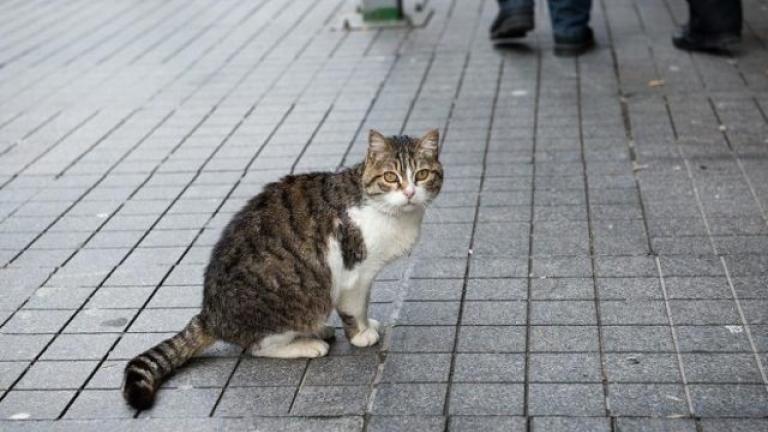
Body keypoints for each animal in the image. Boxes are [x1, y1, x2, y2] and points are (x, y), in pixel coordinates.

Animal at [122, 127, 440, 408]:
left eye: (422, 175)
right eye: (391, 177)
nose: (410, 192)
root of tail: (209, 314)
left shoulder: (368, 275)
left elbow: (364, 305)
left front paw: (366, 325)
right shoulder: (354, 274)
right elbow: (354, 309)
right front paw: (361, 335)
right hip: (298, 302)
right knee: (258, 346)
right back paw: (308, 344)